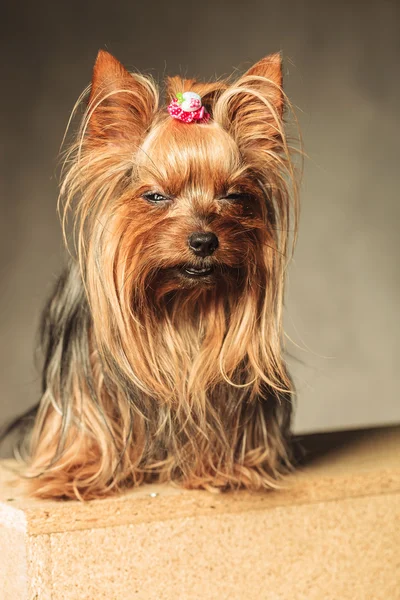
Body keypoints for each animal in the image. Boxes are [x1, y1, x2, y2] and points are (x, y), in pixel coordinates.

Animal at [3, 49, 296, 500]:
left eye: (232, 195)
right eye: (155, 196)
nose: (204, 241)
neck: (180, 306)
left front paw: (224, 468)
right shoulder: (84, 378)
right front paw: (74, 471)